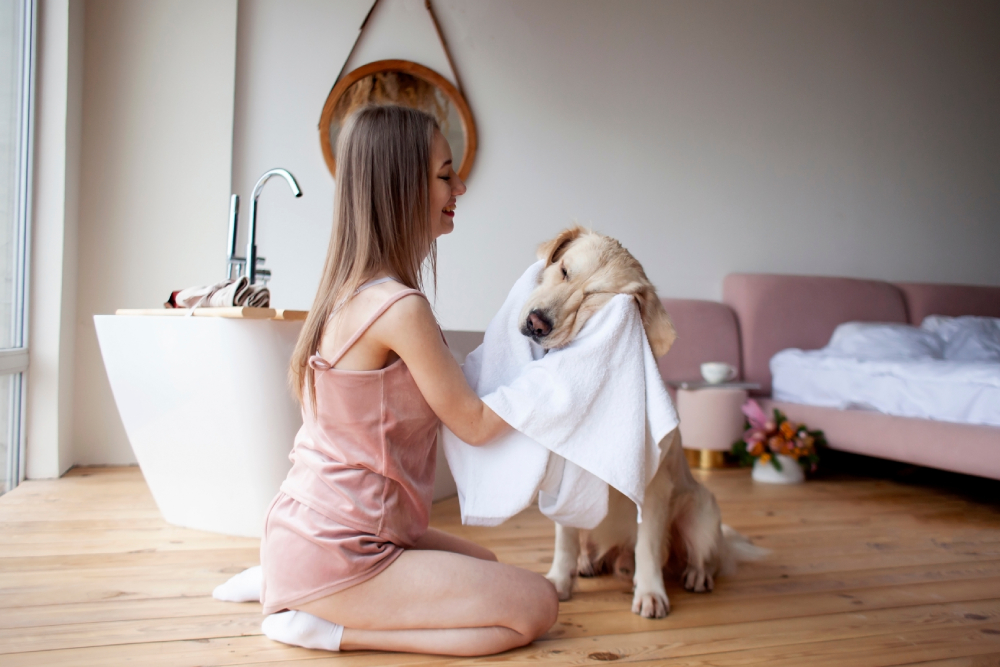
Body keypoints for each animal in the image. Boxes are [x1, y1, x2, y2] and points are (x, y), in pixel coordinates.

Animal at [520, 227, 760, 620]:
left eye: (593, 297)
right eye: (564, 270)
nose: (536, 322)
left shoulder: (652, 489)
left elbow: (647, 547)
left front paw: (650, 593)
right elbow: (565, 540)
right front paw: (559, 580)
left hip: (702, 510)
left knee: (703, 556)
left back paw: (696, 574)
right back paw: (589, 563)